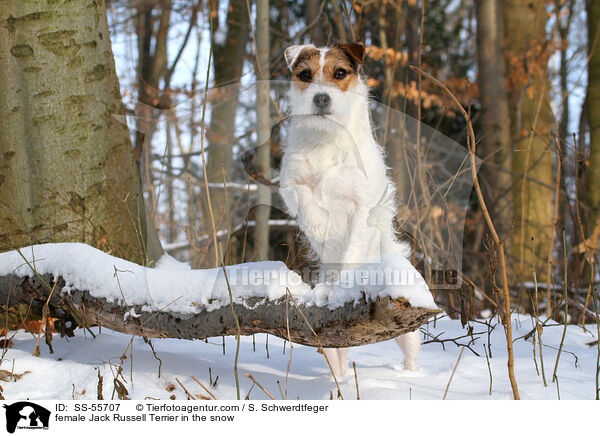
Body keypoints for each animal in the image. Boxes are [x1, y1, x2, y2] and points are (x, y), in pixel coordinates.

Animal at [278, 43, 420, 378]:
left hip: (405, 322)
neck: (327, 139)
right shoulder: (291, 185)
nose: (321, 98)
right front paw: (320, 229)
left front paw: (344, 285)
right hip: (326, 341)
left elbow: (352, 251)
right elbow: (307, 205)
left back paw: (411, 377)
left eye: (340, 73)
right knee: (337, 359)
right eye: (305, 75)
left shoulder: (361, 209)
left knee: (411, 347)